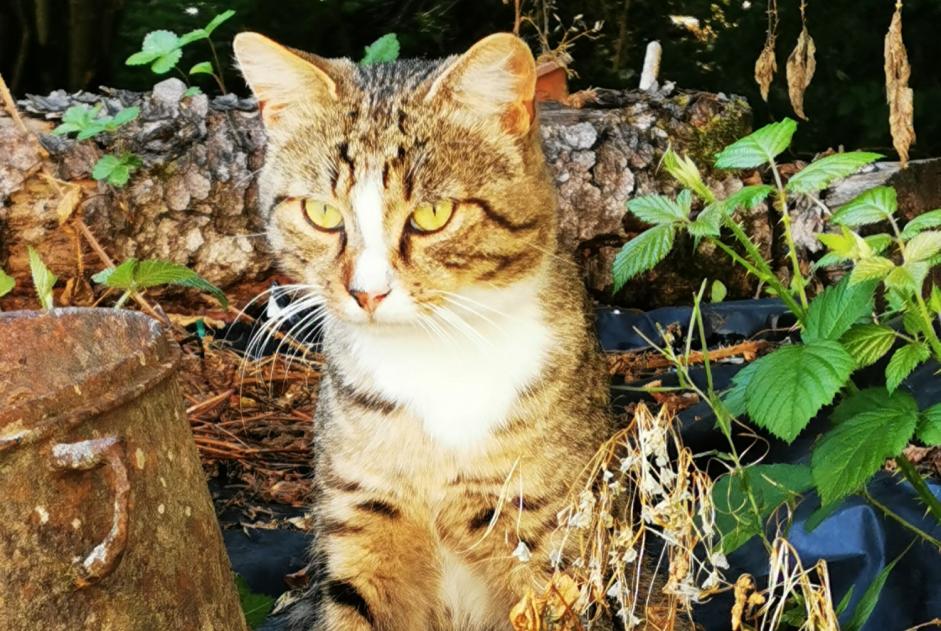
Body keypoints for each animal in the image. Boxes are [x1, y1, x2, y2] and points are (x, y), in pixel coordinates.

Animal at [235, 30, 656, 631]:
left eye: (432, 215)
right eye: (321, 213)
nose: (367, 292)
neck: (434, 357)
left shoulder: (551, 550)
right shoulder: (362, 523)